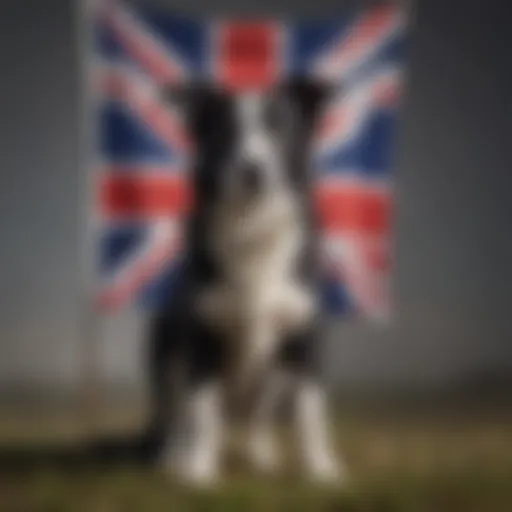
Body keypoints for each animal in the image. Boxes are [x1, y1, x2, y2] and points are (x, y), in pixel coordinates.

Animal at [143, 78, 344, 486]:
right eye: (224, 132)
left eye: (278, 128)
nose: (254, 169)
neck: (252, 226)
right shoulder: (202, 337)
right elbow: (202, 410)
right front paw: (198, 473)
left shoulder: (305, 336)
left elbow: (311, 412)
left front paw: (321, 470)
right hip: (165, 346)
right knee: (175, 416)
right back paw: (173, 458)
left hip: (275, 377)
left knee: (256, 419)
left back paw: (260, 455)